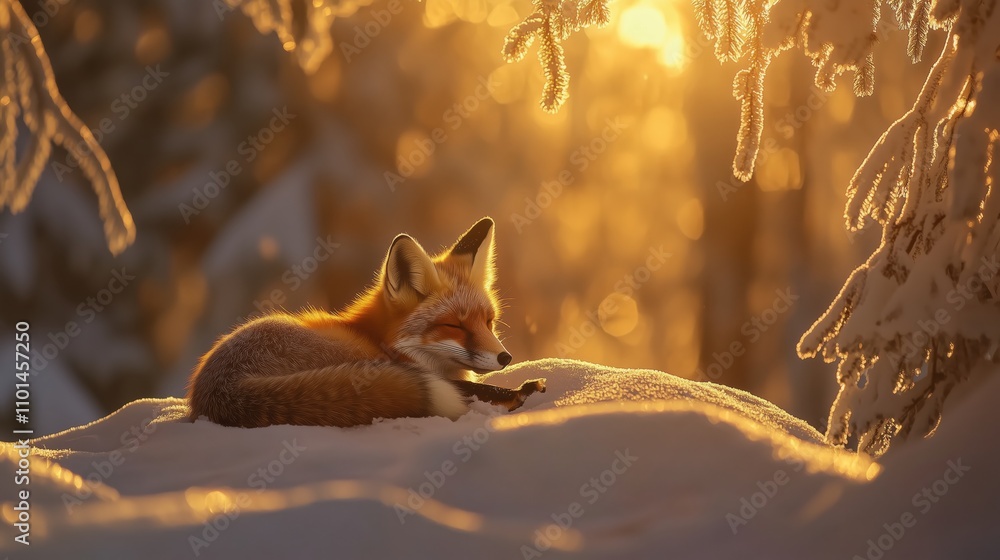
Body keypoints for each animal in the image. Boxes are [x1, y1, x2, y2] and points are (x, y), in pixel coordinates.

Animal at [187, 217, 546, 428]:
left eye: (488, 321)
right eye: (454, 326)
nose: (505, 357)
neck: (381, 339)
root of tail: (216, 388)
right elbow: (468, 387)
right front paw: (518, 390)